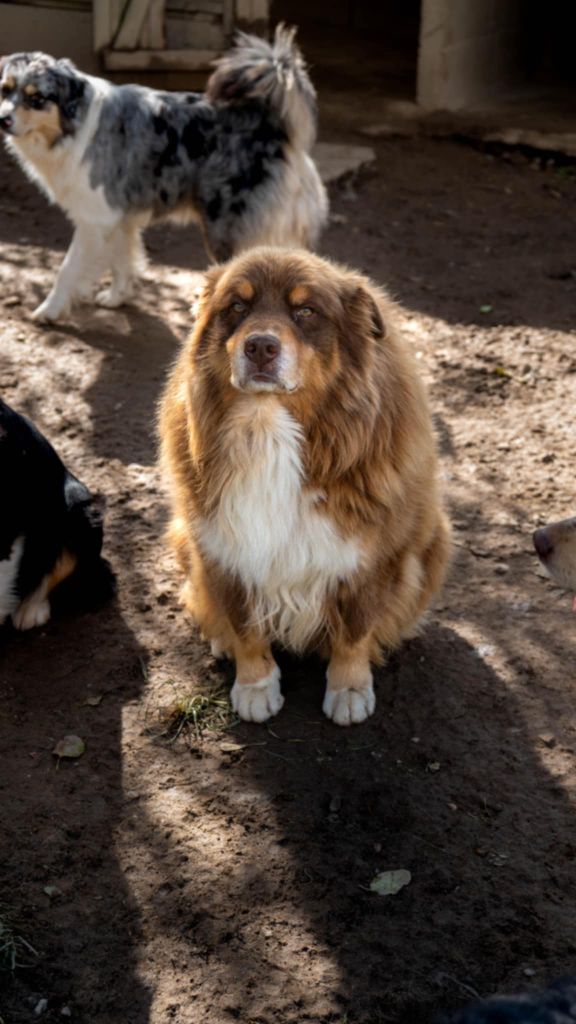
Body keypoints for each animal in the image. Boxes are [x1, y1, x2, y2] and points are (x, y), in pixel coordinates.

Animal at [0, 25, 327, 321]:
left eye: (36, 98)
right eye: (5, 89)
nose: (3, 119)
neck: (75, 124)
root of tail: (272, 126)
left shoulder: (95, 218)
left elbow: (67, 269)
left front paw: (49, 310)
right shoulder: (119, 217)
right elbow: (123, 260)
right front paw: (117, 297)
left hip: (226, 231)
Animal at [158, 246, 450, 724]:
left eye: (306, 311)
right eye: (237, 306)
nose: (260, 346)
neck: (269, 426)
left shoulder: (371, 553)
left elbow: (355, 630)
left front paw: (349, 688)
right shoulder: (224, 549)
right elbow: (244, 625)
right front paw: (255, 684)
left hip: (436, 538)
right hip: (184, 535)